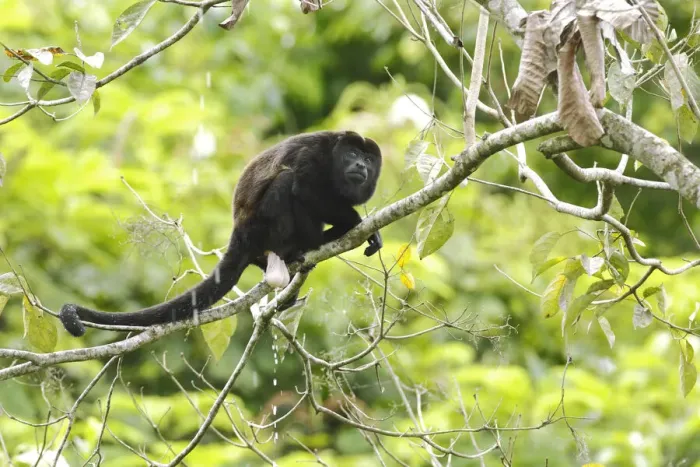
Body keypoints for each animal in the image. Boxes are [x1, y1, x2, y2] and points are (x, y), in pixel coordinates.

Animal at [59, 131, 383, 337]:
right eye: (352, 154)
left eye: (368, 160)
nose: (360, 165)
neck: (333, 161)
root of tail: (239, 232)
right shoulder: (312, 156)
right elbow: (305, 188)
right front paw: (353, 220)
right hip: (261, 227)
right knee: (287, 181)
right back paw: (310, 244)